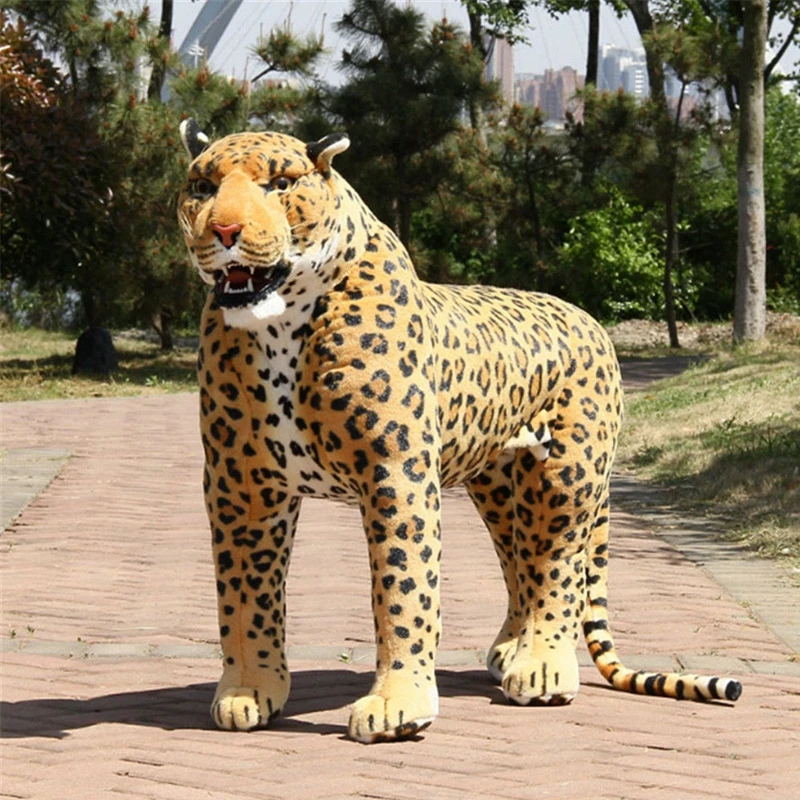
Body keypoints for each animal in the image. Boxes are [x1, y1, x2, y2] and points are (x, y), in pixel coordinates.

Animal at [177, 118, 742, 744]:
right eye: (202, 187)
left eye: (279, 184)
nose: (224, 229)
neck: (280, 324)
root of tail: (589, 319)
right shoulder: (240, 485)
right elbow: (244, 597)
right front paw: (248, 691)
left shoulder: (395, 475)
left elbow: (403, 590)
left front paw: (398, 703)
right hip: (498, 483)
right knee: (522, 563)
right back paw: (511, 652)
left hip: (565, 475)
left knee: (558, 569)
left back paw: (543, 667)